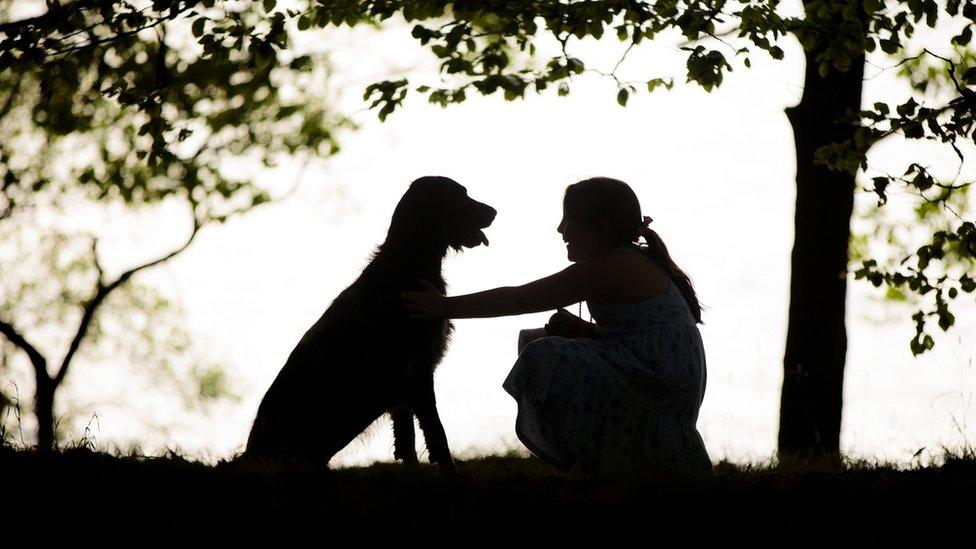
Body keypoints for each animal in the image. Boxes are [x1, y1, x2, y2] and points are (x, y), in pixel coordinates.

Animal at [244, 174, 496, 470]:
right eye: (460, 195)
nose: (494, 212)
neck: (407, 265)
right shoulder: (418, 371)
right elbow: (436, 432)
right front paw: (450, 473)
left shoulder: (404, 385)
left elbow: (407, 438)